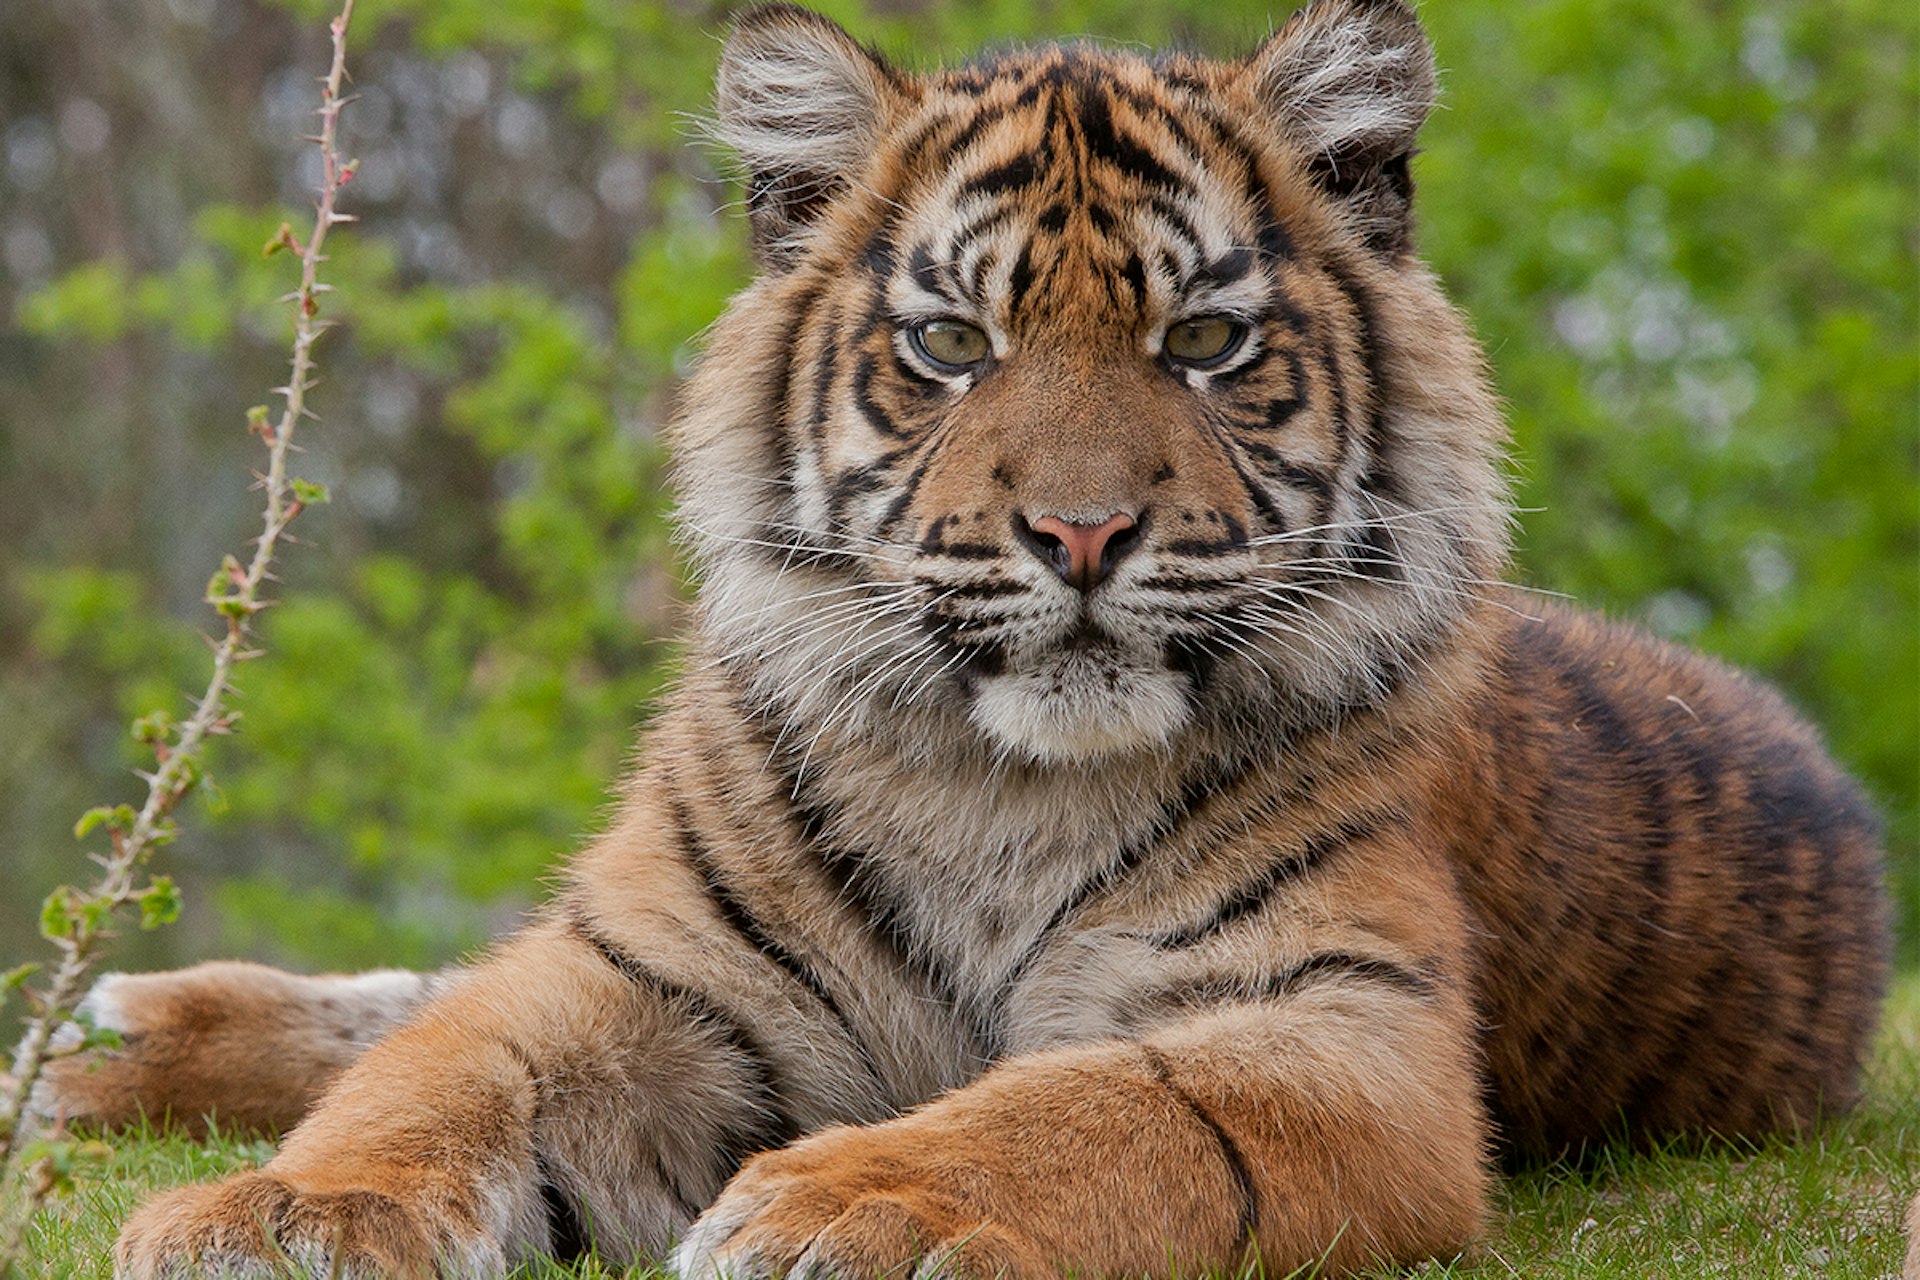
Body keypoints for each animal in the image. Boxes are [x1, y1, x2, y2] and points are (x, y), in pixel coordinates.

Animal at [45, 2, 1889, 1280]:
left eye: (1203, 342)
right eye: (948, 344)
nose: (1078, 535)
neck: (996, 782)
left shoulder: (1336, 1033)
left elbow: (1082, 1106)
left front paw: (848, 1204)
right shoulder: (640, 969)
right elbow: (439, 1072)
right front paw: (284, 1212)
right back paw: (101, 1041)